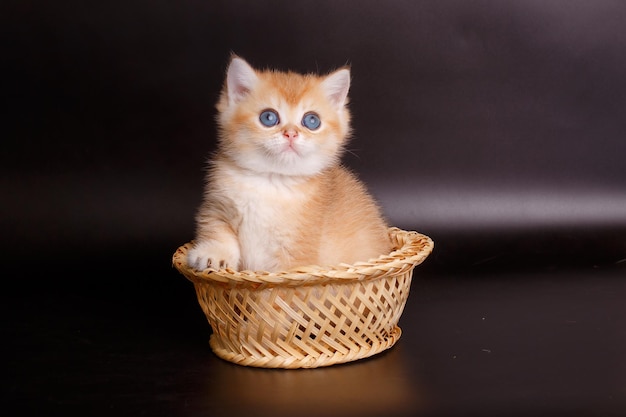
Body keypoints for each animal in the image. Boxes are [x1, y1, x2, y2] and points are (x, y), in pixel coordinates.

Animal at [185, 55, 390, 272]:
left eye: (312, 120)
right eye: (268, 117)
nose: (291, 133)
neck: (271, 181)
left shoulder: (297, 246)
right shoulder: (217, 206)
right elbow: (216, 229)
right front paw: (213, 254)